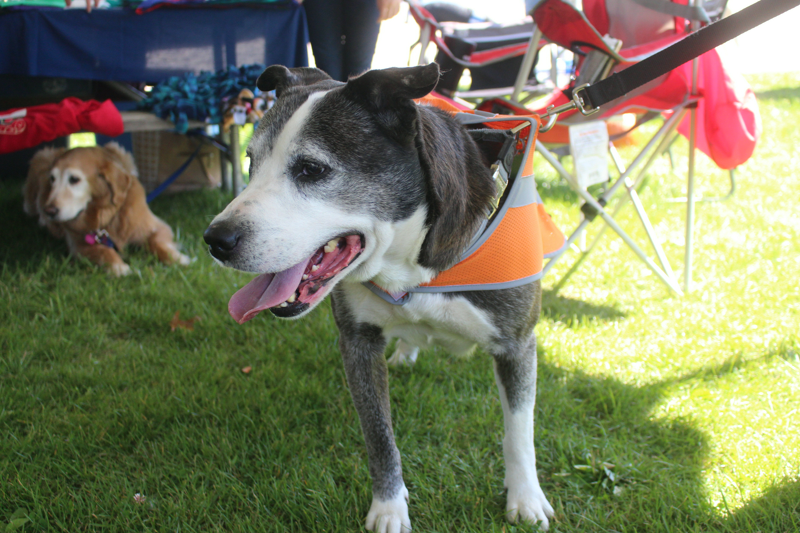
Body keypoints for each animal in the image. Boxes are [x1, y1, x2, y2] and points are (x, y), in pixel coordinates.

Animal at [23, 142, 191, 274]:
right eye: (52, 179)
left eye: (74, 179)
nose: (49, 211)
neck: (105, 215)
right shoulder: (79, 245)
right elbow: (103, 251)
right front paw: (119, 267)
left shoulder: (156, 226)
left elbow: (157, 242)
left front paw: (179, 258)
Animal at [206, 63, 552, 532]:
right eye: (250, 162)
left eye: (311, 169)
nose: (215, 240)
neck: (415, 264)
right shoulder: (358, 342)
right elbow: (379, 437)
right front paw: (389, 508)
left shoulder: (517, 345)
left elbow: (519, 432)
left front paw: (525, 498)